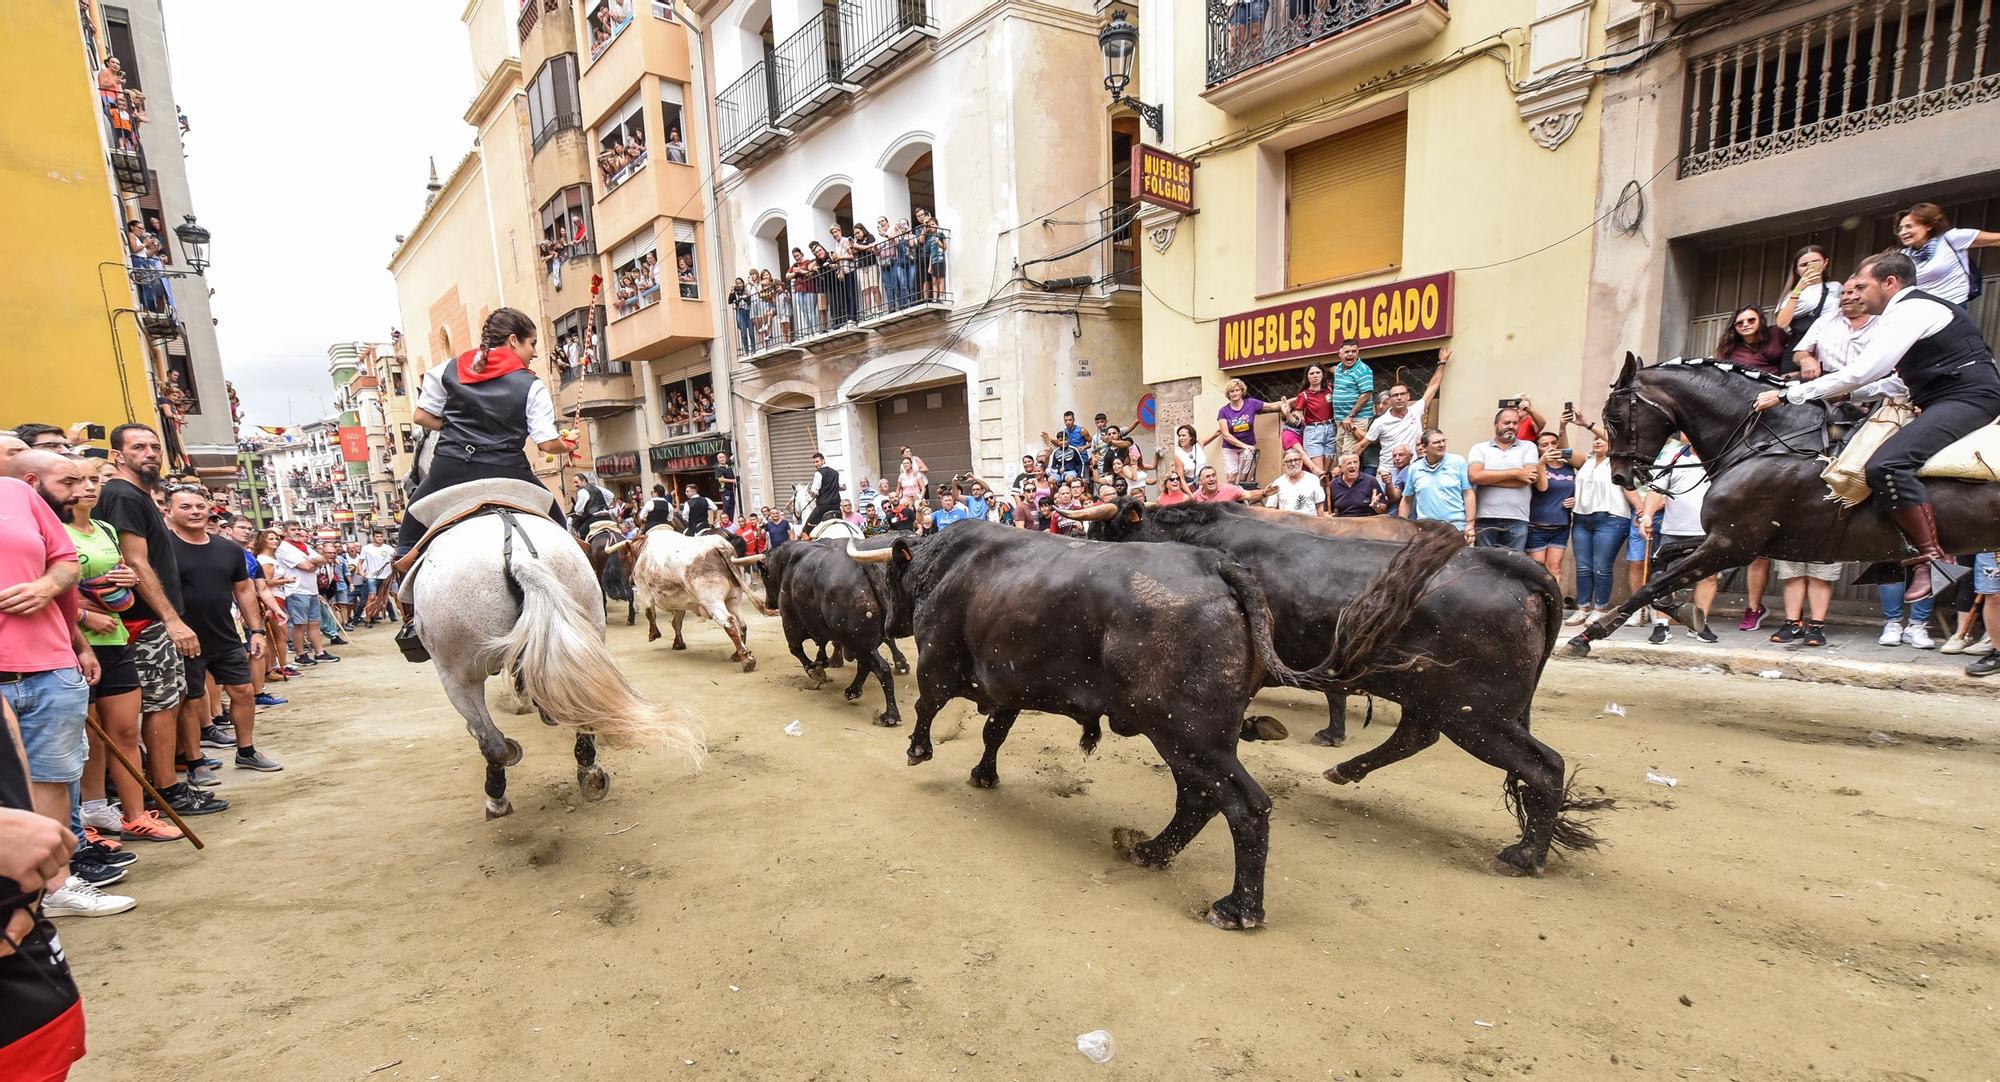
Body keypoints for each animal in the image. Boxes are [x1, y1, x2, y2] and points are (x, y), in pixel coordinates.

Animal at [632, 524, 772, 668]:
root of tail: (717, 546)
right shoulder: (679, 601)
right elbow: (677, 621)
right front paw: (678, 643)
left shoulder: (643, 590)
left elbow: (651, 613)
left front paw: (654, 634)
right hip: (734, 598)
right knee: (741, 624)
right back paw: (737, 654)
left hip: (712, 601)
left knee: (729, 624)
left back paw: (747, 660)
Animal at [856, 520, 1456, 924]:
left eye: (889, 575)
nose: (886, 624)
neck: (949, 565)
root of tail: (1219, 566)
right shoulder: (1008, 687)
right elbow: (994, 732)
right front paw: (984, 773)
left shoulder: (939, 662)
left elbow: (927, 706)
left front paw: (918, 749)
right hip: (1190, 739)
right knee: (1199, 801)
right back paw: (1150, 851)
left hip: (1187, 736)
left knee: (1243, 806)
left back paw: (1237, 907)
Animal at [1080, 498, 1608, 876]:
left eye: (1099, 532)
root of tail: (1514, 566)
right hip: (1440, 701)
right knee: (1417, 737)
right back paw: (1346, 770)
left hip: (1477, 715)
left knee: (1544, 767)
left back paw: (1525, 856)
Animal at [1560, 356, 2000, 660]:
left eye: (1615, 417)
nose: (1620, 477)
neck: (1768, 439)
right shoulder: (1738, 542)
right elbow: (1663, 558)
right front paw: (1682, 610)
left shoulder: (1731, 544)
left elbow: (1652, 583)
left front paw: (1588, 635)